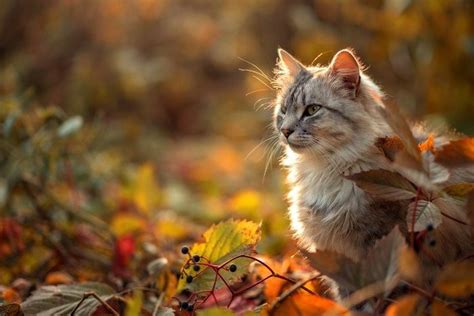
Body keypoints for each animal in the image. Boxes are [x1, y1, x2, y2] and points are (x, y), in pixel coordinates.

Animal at [272, 48, 472, 296]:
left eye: (312, 110)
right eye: (283, 111)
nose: (285, 130)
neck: (324, 171)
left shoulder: (386, 249)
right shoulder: (341, 260)